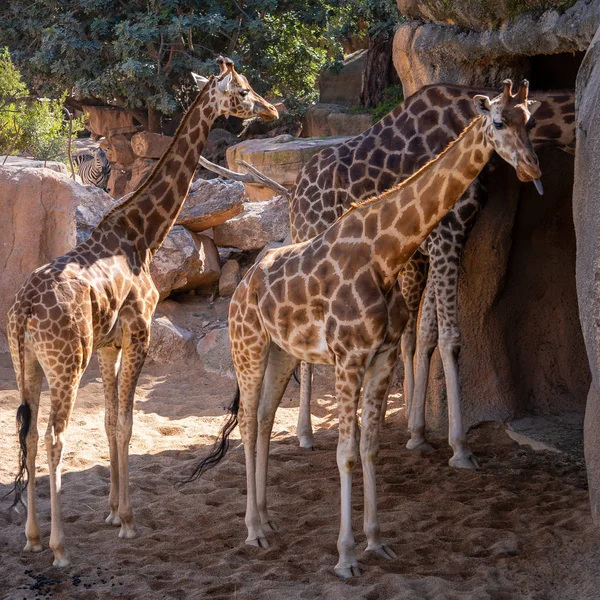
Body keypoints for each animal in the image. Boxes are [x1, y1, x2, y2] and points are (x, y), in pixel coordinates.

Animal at [5, 57, 278, 568]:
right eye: (245, 90)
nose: (271, 110)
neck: (144, 233)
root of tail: (25, 312)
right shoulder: (140, 332)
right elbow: (128, 424)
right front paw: (129, 521)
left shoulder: (110, 344)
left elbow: (111, 422)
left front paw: (113, 511)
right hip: (67, 362)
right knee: (54, 437)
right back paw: (59, 547)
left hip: (25, 361)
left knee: (28, 434)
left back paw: (31, 537)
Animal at [192, 82, 544, 580]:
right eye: (498, 121)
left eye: (529, 119)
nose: (532, 166)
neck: (385, 253)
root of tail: (243, 284)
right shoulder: (349, 358)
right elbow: (346, 453)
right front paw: (345, 557)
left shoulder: (382, 357)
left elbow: (372, 447)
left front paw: (376, 542)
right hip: (248, 345)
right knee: (245, 421)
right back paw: (253, 530)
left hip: (282, 352)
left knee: (262, 418)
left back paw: (267, 519)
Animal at [292, 81, 576, 468]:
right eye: (500, 123)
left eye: (530, 123)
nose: (532, 169)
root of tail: (294, 193)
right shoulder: (447, 236)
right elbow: (450, 338)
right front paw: (460, 447)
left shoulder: (439, 246)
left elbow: (425, 334)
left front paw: (417, 433)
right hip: (313, 246)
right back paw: (305, 434)